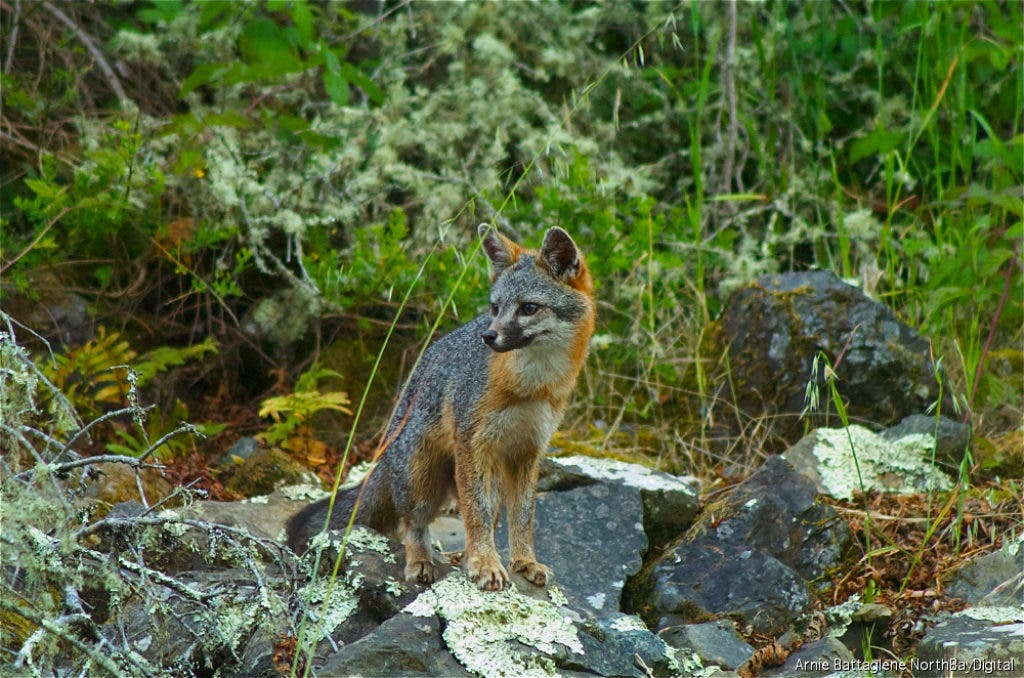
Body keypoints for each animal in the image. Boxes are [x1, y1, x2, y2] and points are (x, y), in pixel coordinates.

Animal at [285, 224, 596, 591]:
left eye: (529, 307)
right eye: (495, 307)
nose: (488, 336)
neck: (531, 388)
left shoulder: (527, 452)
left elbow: (522, 517)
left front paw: (523, 561)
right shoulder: (472, 444)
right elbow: (476, 514)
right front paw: (486, 564)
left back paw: (466, 555)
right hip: (423, 483)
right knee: (412, 525)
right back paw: (423, 561)